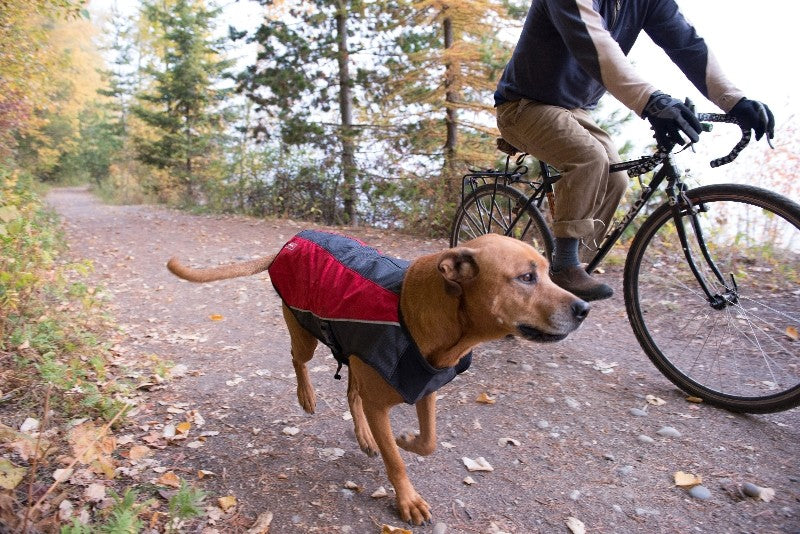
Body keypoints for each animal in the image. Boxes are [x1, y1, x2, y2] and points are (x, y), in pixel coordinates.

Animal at [166, 232, 588, 524]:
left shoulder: (425, 390)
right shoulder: (381, 405)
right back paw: (307, 396)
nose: (584, 308)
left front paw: (406, 440)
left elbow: (429, 442)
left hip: (353, 358)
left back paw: (364, 435)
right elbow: (396, 462)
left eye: (548, 273)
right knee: (297, 359)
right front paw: (407, 499)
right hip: (304, 332)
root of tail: (288, 245)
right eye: (527, 277)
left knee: (352, 394)